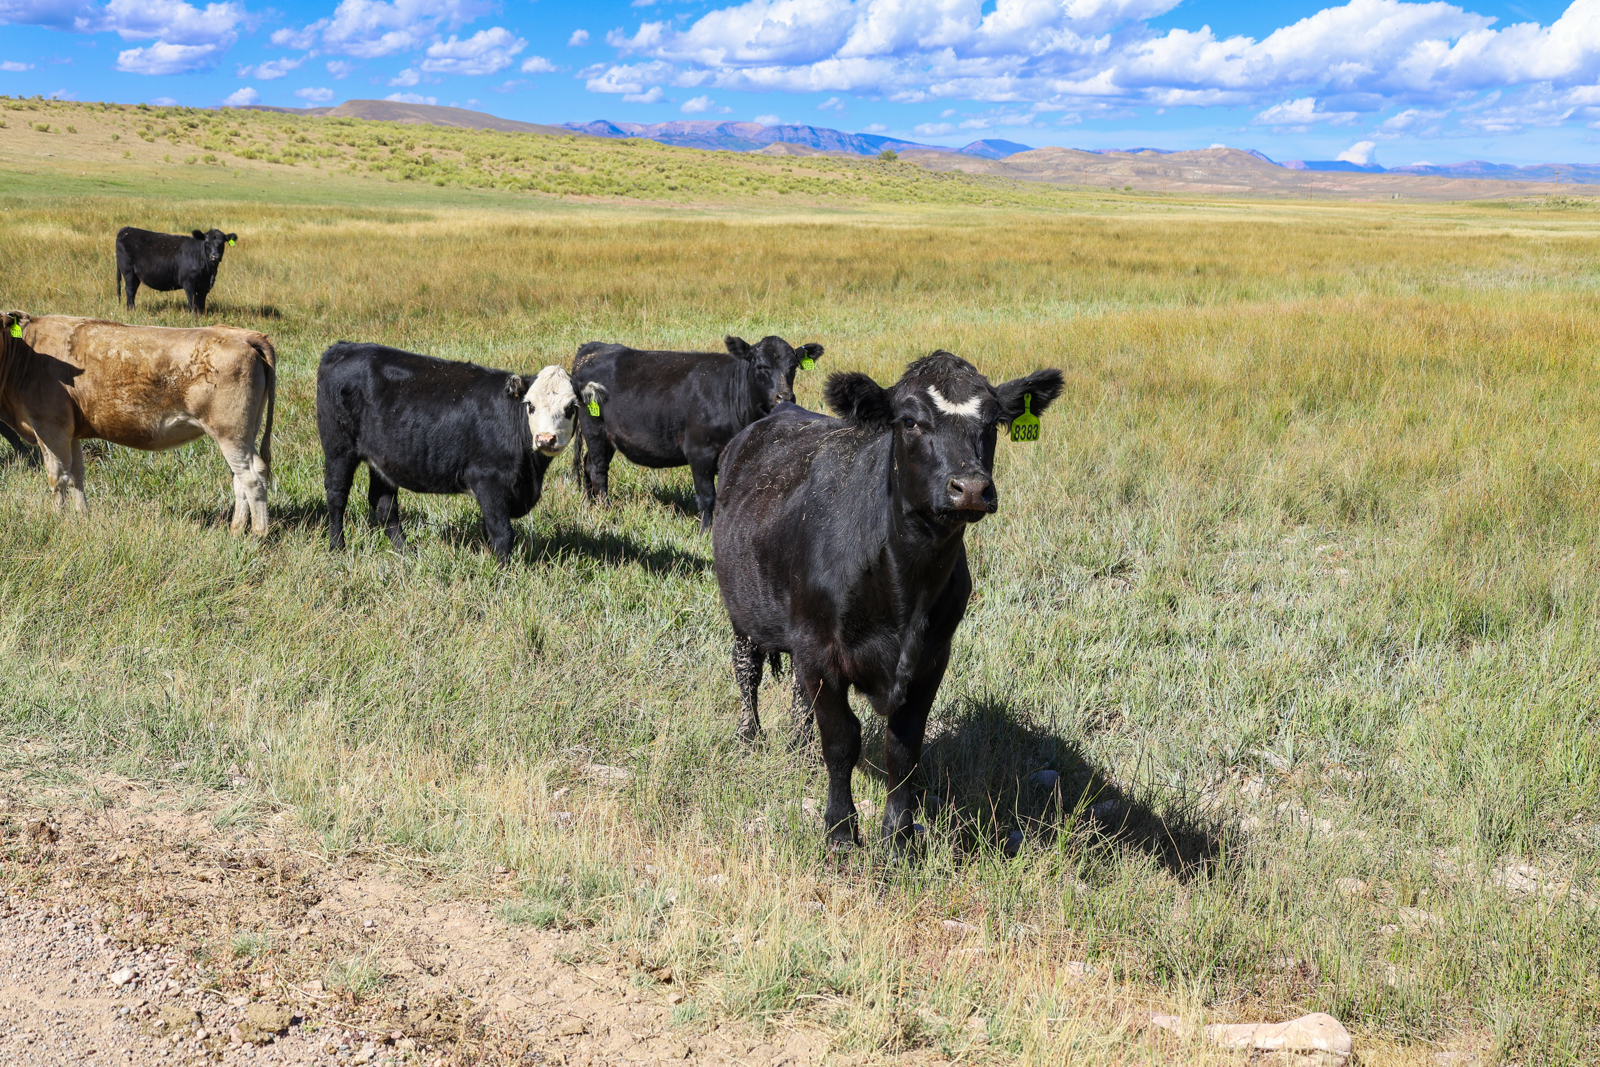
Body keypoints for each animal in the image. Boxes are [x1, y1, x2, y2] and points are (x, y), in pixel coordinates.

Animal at [0, 311, 275, 535]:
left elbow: (57, 477)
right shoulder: (72, 432)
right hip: (244, 433)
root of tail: (244, 335)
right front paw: (82, 518)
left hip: (230, 432)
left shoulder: (49, 427)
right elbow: (77, 475)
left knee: (253, 477)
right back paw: (236, 530)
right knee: (240, 478)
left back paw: (257, 535)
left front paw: (57, 521)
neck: (25, 354)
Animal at [316, 342, 590, 562]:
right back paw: (337, 548)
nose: (545, 438)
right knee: (337, 496)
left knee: (384, 505)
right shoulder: (487, 480)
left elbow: (490, 530)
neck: (531, 472)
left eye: (571, 407)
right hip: (339, 448)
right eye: (530, 405)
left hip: (383, 459)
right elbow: (502, 533)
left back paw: (405, 552)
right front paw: (503, 573)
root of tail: (345, 348)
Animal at [568, 335, 824, 530]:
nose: (785, 397)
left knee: (588, 464)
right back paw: (605, 510)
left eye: (793, 367)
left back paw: (590, 505)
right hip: (595, 429)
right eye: (761, 366)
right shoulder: (700, 452)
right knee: (598, 469)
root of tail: (592, 348)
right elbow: (707, 496)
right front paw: (705, 532)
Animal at [712, 351, 1063, 851]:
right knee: (747, 669)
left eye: (993, 421)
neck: (904, 590)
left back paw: (800, 749)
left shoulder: (932, 658)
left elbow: (904, 747)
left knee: (798, 694)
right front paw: (840, 831)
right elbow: (842, 741)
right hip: (744, 609)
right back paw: (750, 736)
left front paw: (898, 838)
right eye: (910, 421)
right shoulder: (821, 650)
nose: (971, 487)